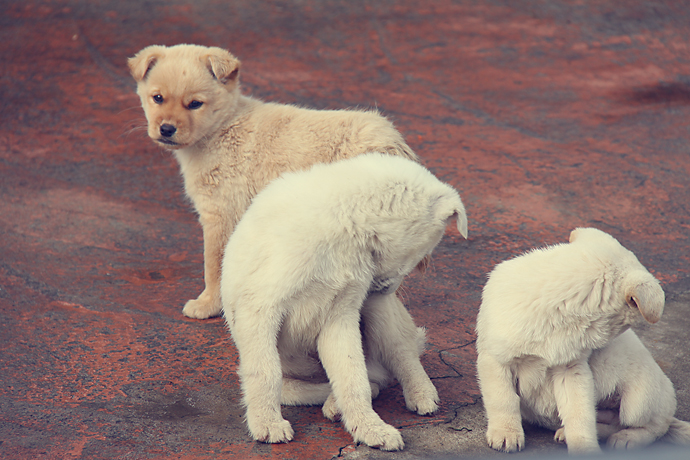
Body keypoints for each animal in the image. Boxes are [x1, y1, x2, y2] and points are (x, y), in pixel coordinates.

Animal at [127, 44, 416, 320]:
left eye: (195, 104)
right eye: (158, 98)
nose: (166, 129)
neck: (222, 128)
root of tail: (394, 142)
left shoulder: (221, 215)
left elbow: (214, 266)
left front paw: (208, 305)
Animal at [220, 153, 468, 452]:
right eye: (425, 251)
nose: (389, 288)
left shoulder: (340, 316)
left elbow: (353, 378)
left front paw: (370, 428)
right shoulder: (259, 309)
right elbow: (264, 373)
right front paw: (266, 423)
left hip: (378, 310)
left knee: (399, 354)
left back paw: (420, 392)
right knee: (300, 386)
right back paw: (332, 401)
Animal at [472, 228, 688, 454]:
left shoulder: (571, 370)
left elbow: (579, 413)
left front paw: (584, 446)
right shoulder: (495, 360)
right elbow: (503, 400)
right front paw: (506, 432)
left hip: (638, 401)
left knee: (655, 427)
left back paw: (627, 438)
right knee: (615, 421)